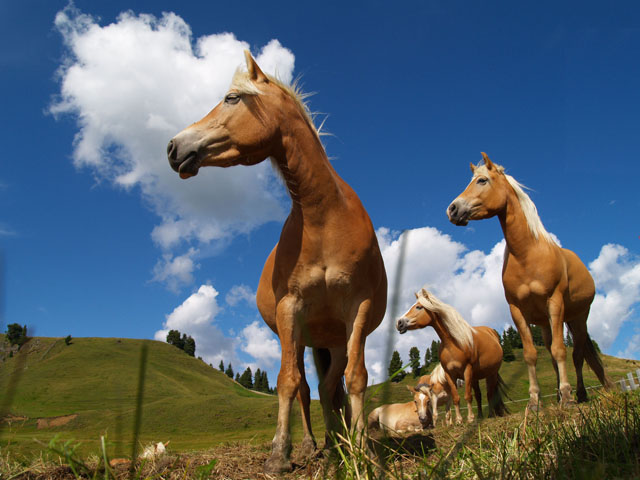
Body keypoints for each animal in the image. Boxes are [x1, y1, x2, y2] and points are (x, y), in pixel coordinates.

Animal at [166, 51, 384, 472]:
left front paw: (362, 451)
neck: (324, 215)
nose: (173, 146)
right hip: (298, 336)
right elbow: (287, 382)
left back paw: (338, 441)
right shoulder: (290, 309)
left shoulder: (358, 308)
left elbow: (356, 378)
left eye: (232, 98)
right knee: (305, 386)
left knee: (329, 386)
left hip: (332, 339)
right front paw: (279, 455)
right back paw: (315, 444)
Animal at [396, 286, 510, 422]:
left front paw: (470, 418)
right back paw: (480, 416)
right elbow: (456, 398)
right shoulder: (450, 374)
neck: (453, 344)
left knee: (489, 394)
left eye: (419, 307)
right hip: (475, 377)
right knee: (479, 395)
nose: (399, 323)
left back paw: (490, 415)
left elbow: (467, 396)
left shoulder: (467, 370)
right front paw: (459, 420)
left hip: (491, 373)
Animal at [448, 154, 612, 408]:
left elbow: (560, 350)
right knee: (554, 354)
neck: (528, 254)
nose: (453, 209)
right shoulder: (517, 310)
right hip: (546, 323)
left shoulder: (555, 302)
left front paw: (567, 396)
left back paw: (579, 394)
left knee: (577, 354)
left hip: (577, 318)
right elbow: (531, 354)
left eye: (482, 180)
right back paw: (558, 395)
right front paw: (535, 401)